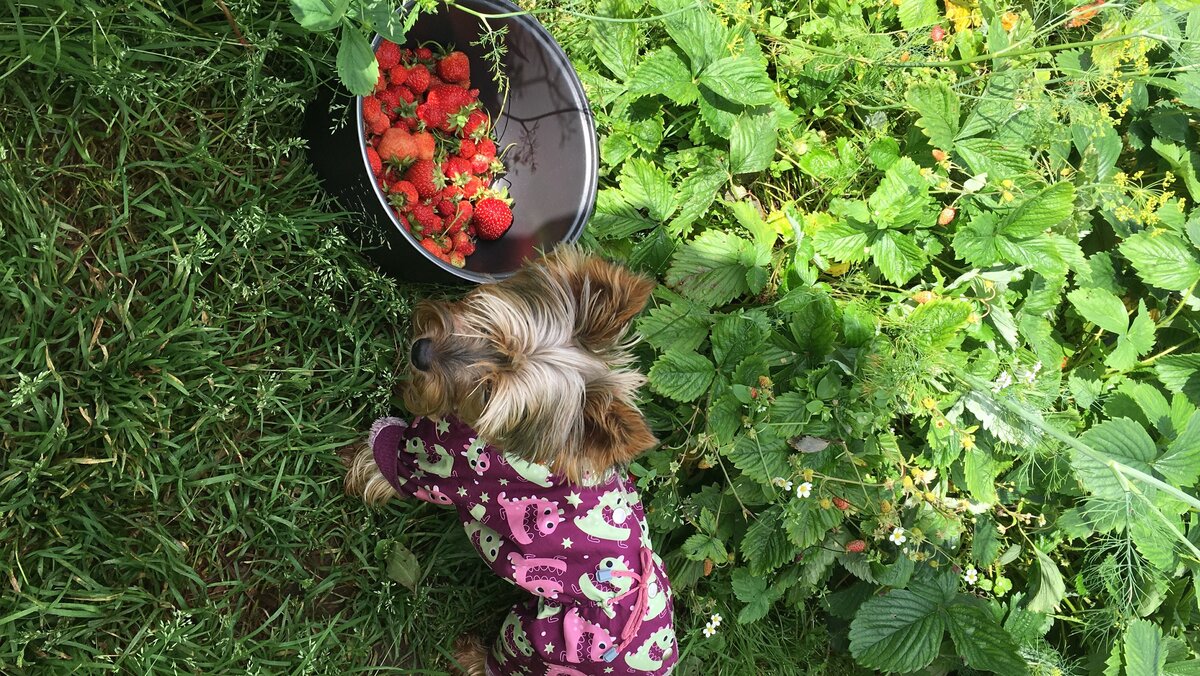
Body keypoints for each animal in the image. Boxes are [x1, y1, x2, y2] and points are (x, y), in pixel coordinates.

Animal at [348, 247, 681, 676]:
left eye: (487, 391)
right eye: (488, 331)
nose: (419, 352)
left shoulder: (444, 464)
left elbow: (395, 462)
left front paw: (357, 467)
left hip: (542, 641)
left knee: (508, 657)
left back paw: (469, 655)